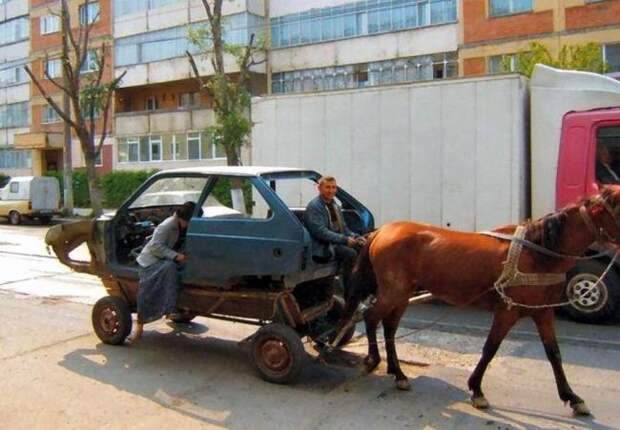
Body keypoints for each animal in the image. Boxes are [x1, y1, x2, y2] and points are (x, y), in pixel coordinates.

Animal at [340, 186, 620, 416]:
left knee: (389, 327)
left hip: (402, 294)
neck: (538, 254)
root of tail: (381, 231)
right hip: (393, 291)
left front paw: (572, 397)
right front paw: (476, 390)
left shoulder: (543, 312)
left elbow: (554, 354)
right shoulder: (507, 312)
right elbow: (490, 348)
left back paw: (397, 372)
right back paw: (373, 360)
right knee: (371, 317)